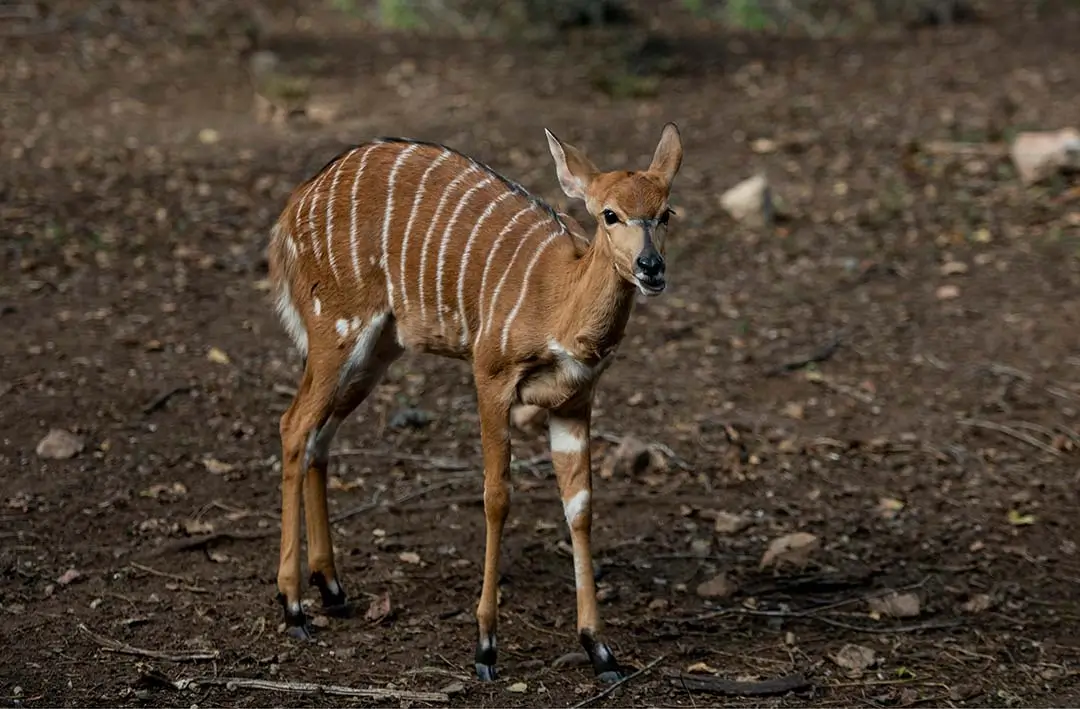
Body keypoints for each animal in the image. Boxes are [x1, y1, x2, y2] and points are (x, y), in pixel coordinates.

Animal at [264, 122, 678, 683]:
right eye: (609, 214)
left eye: (666, 212)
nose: (650, 267)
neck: (560, 303)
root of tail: (295, 205)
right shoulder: (490, 376)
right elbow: (497, 496)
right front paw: (485, 646)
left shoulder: (574, 401)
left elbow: (581, 506)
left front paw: (600, 650)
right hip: (337, 328)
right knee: (293, 424)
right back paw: (293, 607)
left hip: (375, 351)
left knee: (319, 435)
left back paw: (331, 589)